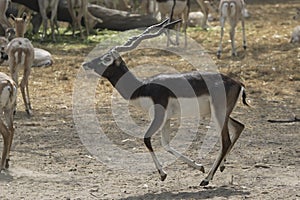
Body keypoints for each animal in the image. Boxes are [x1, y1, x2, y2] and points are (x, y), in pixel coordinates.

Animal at [82, 19, 248, 186]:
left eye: (106, 58)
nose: (86, 64)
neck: (143, 87)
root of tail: (237, 83)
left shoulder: (159, 116)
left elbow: (146, 139)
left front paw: (163, 174)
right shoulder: (167, 118)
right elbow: (166, 144)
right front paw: (199, 166)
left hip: (218, 113)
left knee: (225, 141)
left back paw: (206, 179)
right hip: (219, 113)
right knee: (239, 126)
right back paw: (220, 167)